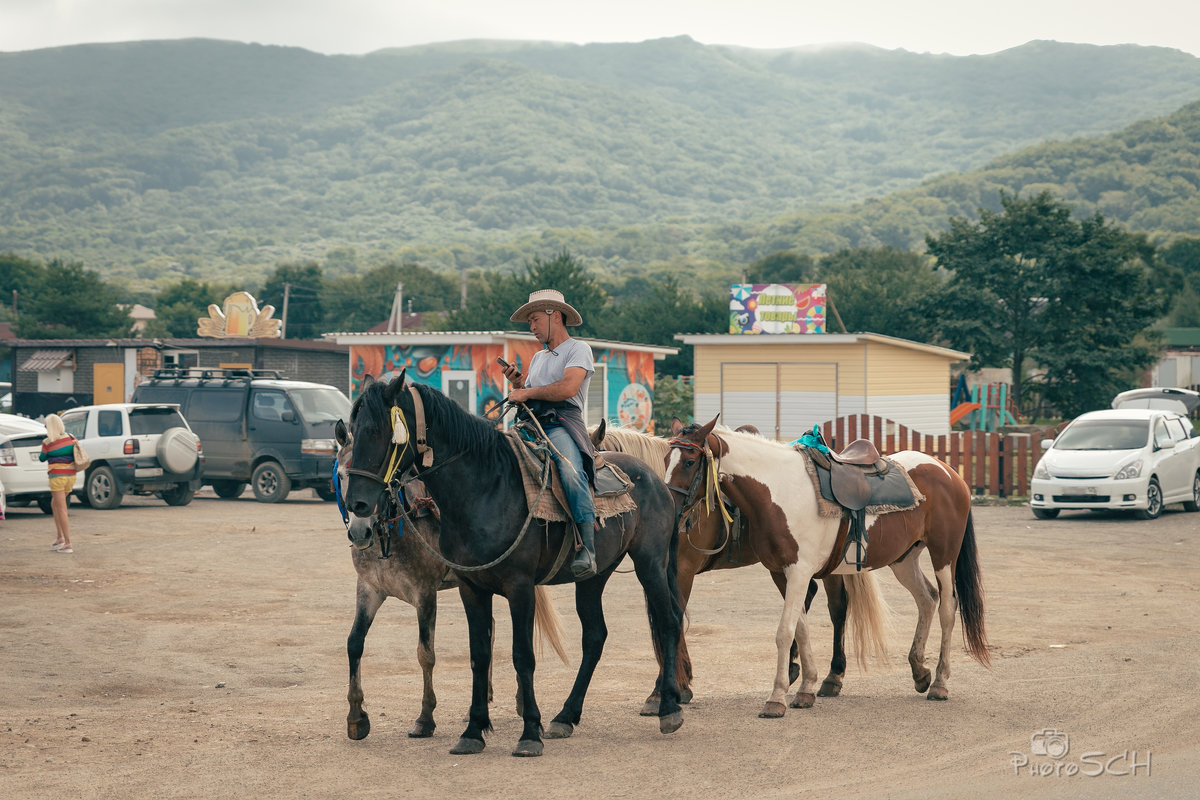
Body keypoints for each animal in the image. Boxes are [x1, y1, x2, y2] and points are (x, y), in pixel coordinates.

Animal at [662, 419, 988, 719]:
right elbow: (801, 629)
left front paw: (776, 698)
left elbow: (785, 632)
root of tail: (947, 471)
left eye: (689, 462)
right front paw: (806, 689)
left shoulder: (798, 572)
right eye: (665, 460)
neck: (778, 492)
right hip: (904, 559)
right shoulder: (782, 574)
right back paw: (920, 672)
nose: (670, 507)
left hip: (944, 554)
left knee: (947, 608)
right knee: (927, 599)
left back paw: (940, 682)